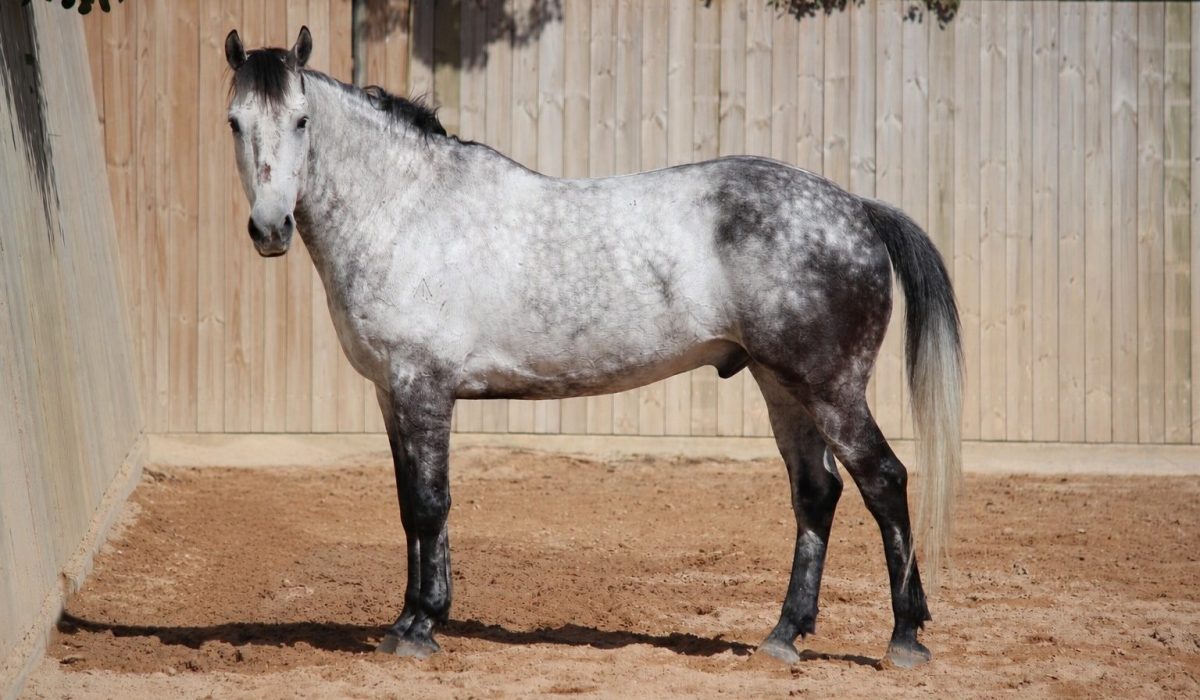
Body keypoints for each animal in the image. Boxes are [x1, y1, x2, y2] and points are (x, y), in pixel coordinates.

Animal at [222, 26, 962, 669]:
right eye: (234, 121)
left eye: (301, 121)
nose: (269, 229)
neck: (408, 211)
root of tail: (857, 209)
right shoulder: (391, 395)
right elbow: (411, 507)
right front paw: (410, 620)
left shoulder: (422, 387)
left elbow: (431, 504)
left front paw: (420, 626)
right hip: (781, 386)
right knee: (816, 493)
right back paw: (783, 636)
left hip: (830, 388)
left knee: (884, 481)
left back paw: (905, 639)